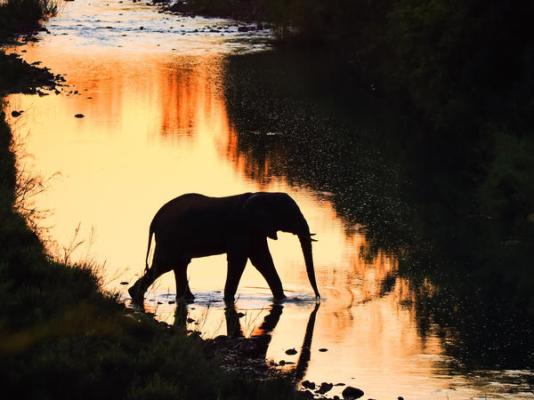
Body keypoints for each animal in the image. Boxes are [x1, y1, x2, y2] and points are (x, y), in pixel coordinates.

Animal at [129, 192, 322, 304]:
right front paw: (228, 299)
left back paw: (186, 298)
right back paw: (135, 295)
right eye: (291, 215)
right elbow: (240, 259)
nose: (318, 298)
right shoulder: (240, 227)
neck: (263, 194)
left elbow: (262, 260)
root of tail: (154, 219)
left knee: (179, 264)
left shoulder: (256, 229)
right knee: (165, 264)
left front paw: (283, 299)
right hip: (170, 236)